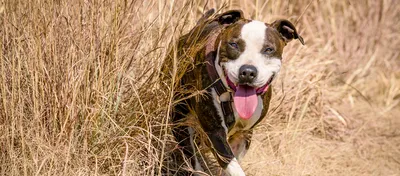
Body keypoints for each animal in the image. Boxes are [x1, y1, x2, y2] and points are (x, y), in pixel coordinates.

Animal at [161, 9, 304, 175]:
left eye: (268, 50)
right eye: (234, 44)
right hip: (179, 117)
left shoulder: (244, 135)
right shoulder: (216, 133)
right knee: (191, 155)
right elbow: (233, 165)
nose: (248, 71)